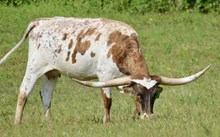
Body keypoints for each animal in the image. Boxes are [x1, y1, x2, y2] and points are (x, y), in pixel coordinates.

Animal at [0, 16, 210, 124]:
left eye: (154, 96)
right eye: (140, 94)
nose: (149, 117)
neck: (122, 46)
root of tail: (40, 21)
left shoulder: (125, 80)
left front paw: (134, 116)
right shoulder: (105, 76)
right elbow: (107, 101)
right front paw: (107, 122)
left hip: (52, 71)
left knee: (46, 93)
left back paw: (48, 121)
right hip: (34, 66)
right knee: (24, 91)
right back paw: (18, 123)